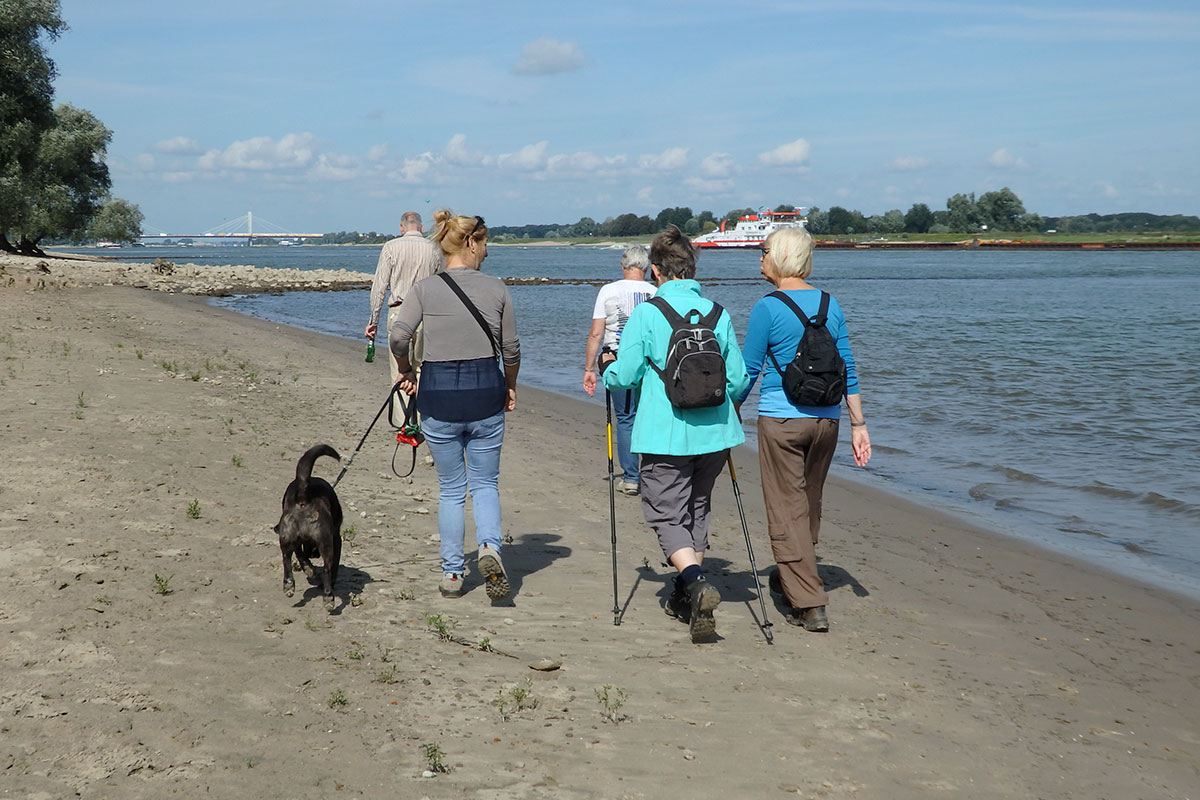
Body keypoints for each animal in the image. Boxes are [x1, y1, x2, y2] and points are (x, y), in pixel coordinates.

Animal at [274, 448, 343, 609]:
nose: (314, 555)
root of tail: (303, 496)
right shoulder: (336, 539)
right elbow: (334, 567)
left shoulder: (296, 541)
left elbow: (300, 555)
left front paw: (308, 567)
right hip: (326, 543)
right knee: (327, 569)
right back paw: (328, 596)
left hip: (286, 537)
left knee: (286, 559)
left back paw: (289, 585)